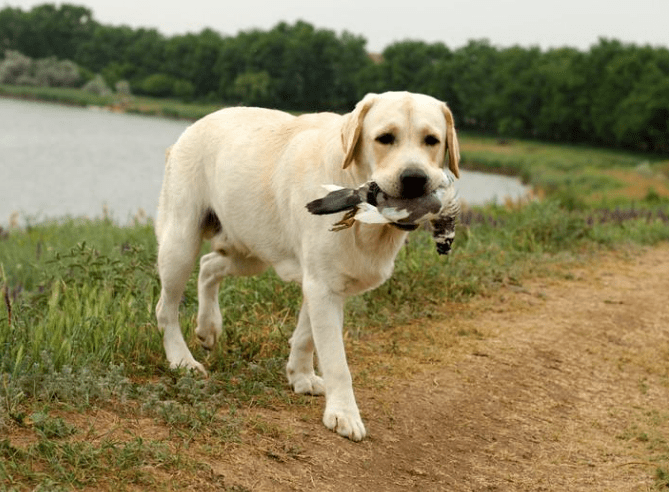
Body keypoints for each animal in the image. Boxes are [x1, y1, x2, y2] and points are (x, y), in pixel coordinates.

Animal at [153, 90, 456, 440]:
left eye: (432, 140)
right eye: (385, 138)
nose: (414, 179)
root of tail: (195, 124)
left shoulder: (323, 284)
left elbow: (306, 335)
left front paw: (300, 376)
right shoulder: (322, 286)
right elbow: (336, 359)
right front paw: (343, 413)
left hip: (250, 253)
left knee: (208, 266)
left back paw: (208, 327)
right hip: (180, 243)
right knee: (166, 308)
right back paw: (181, 360)